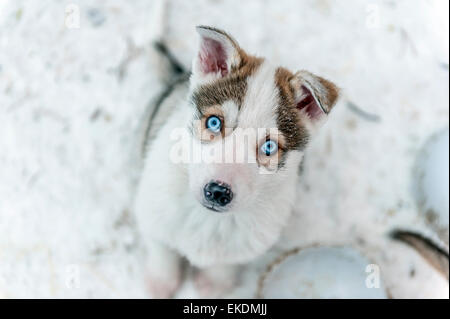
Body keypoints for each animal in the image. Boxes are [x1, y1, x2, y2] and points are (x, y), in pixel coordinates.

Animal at [135, 26, 340, 298]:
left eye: (269, 147)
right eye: (213, 122)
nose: (217, 191)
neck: (209, 219)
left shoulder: (250, 243)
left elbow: (225, 264)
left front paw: (213, 285)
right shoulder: (153, 215)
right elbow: (163, 252)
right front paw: (160, 283)